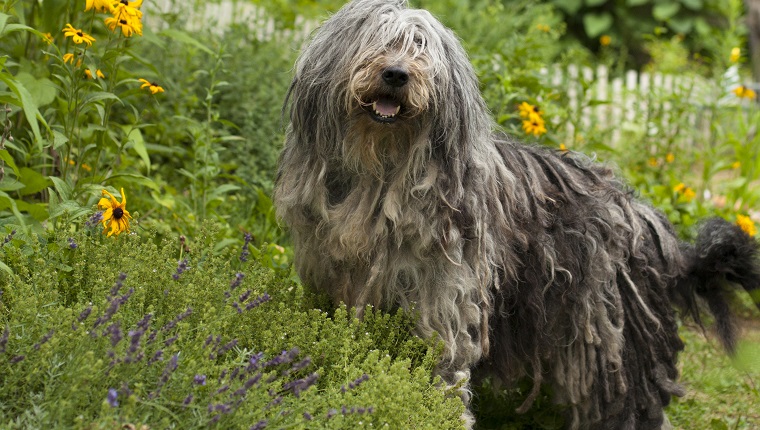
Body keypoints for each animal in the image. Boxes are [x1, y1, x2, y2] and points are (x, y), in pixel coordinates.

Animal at [274, 1, 760, 428]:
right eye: (376, 40)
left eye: (420, 47)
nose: (396, 73)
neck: (382, 174)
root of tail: (649, 220)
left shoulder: (443, 295)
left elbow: (444, 366)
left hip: (610, 334)